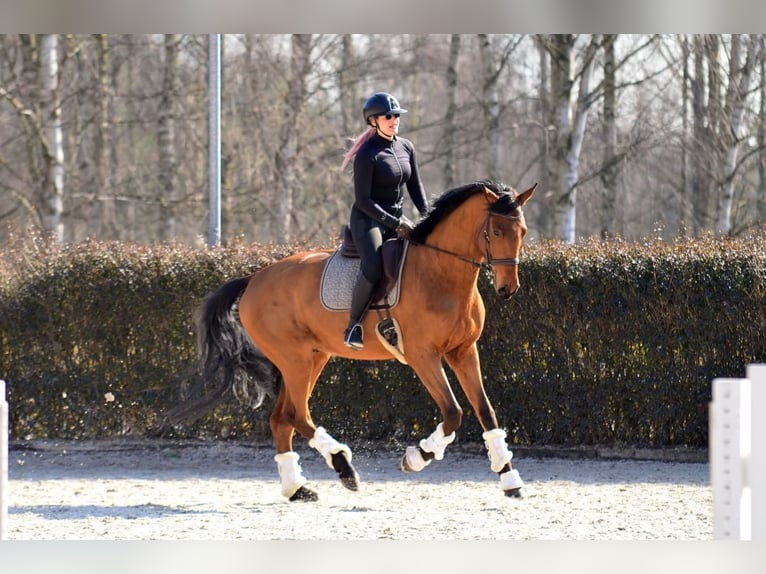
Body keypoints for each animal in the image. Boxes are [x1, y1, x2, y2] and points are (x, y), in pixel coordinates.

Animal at [164, 180, 536, 501]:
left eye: (523, 232)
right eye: (497, 231)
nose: (508, 289)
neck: (440, 272)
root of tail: (254, 278)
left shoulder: (463, 351)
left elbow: (485, 411)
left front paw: (509, 479)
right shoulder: (423, 356)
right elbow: (453, 413)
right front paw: (417, 456)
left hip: (312, 358)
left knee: (281, 418)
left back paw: (297, 489)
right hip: (296, 360)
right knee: (296, 415)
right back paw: (343, 465)